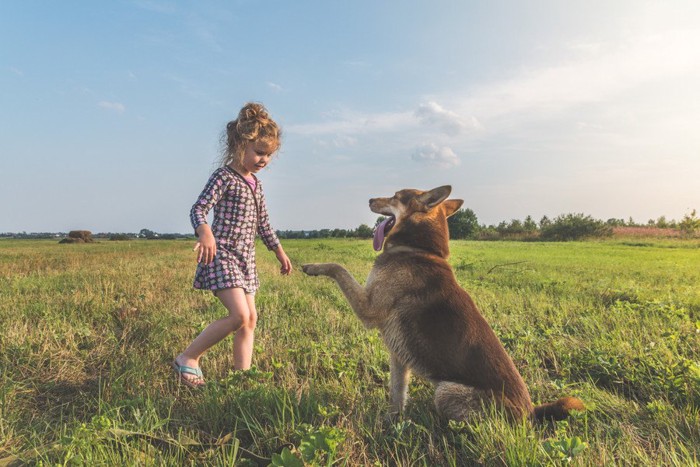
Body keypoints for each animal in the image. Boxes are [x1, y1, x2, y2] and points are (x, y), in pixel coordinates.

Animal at [304, 186, 584, 424]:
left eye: (395, 195)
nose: (370, 199)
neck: (418, 248)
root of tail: (530, 414)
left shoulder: (369, 308)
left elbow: (338, 267)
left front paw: (313, 266)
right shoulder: (398, 356)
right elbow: (396, 393)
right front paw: (392, 422)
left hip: (446, 391)